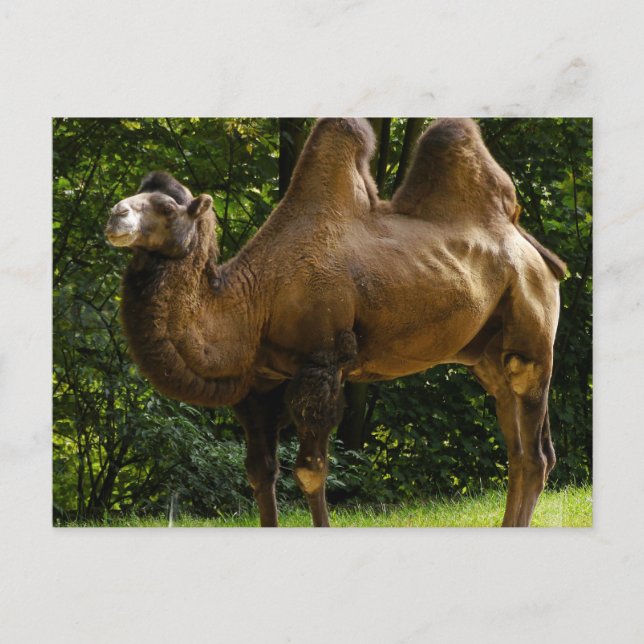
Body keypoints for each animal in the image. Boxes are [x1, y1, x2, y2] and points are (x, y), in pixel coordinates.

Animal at [105, 118, 566, 527]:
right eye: (137, 194)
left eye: (166, 207)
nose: (114, 214)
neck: (255, 299)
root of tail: (540, 256)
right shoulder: (259, 385)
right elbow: (259, 473)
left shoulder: (321, 363)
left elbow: (310, 471)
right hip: (487, 355)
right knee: (519, 442)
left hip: (530, 326)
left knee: (534, 447)